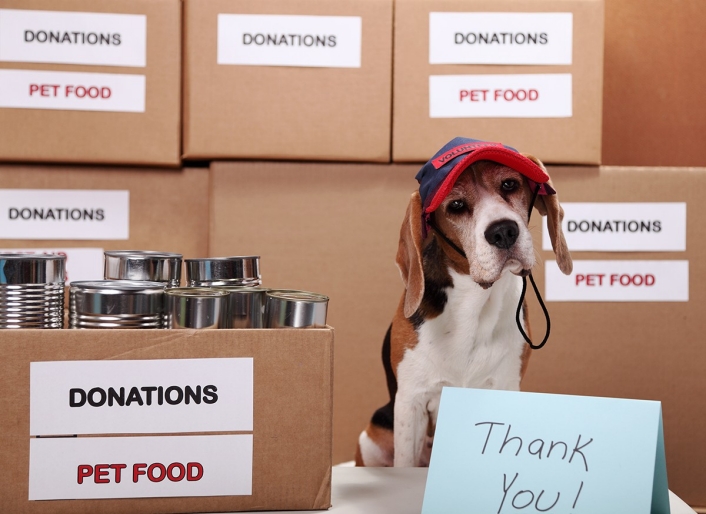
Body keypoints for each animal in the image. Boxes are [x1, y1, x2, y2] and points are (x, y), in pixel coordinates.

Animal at [354, 138, 568, 466]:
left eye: (509, 184)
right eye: (455, 206)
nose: (504, 231)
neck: (475, 301)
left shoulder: (506, 386)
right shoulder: (411, 402)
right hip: (371, 437)